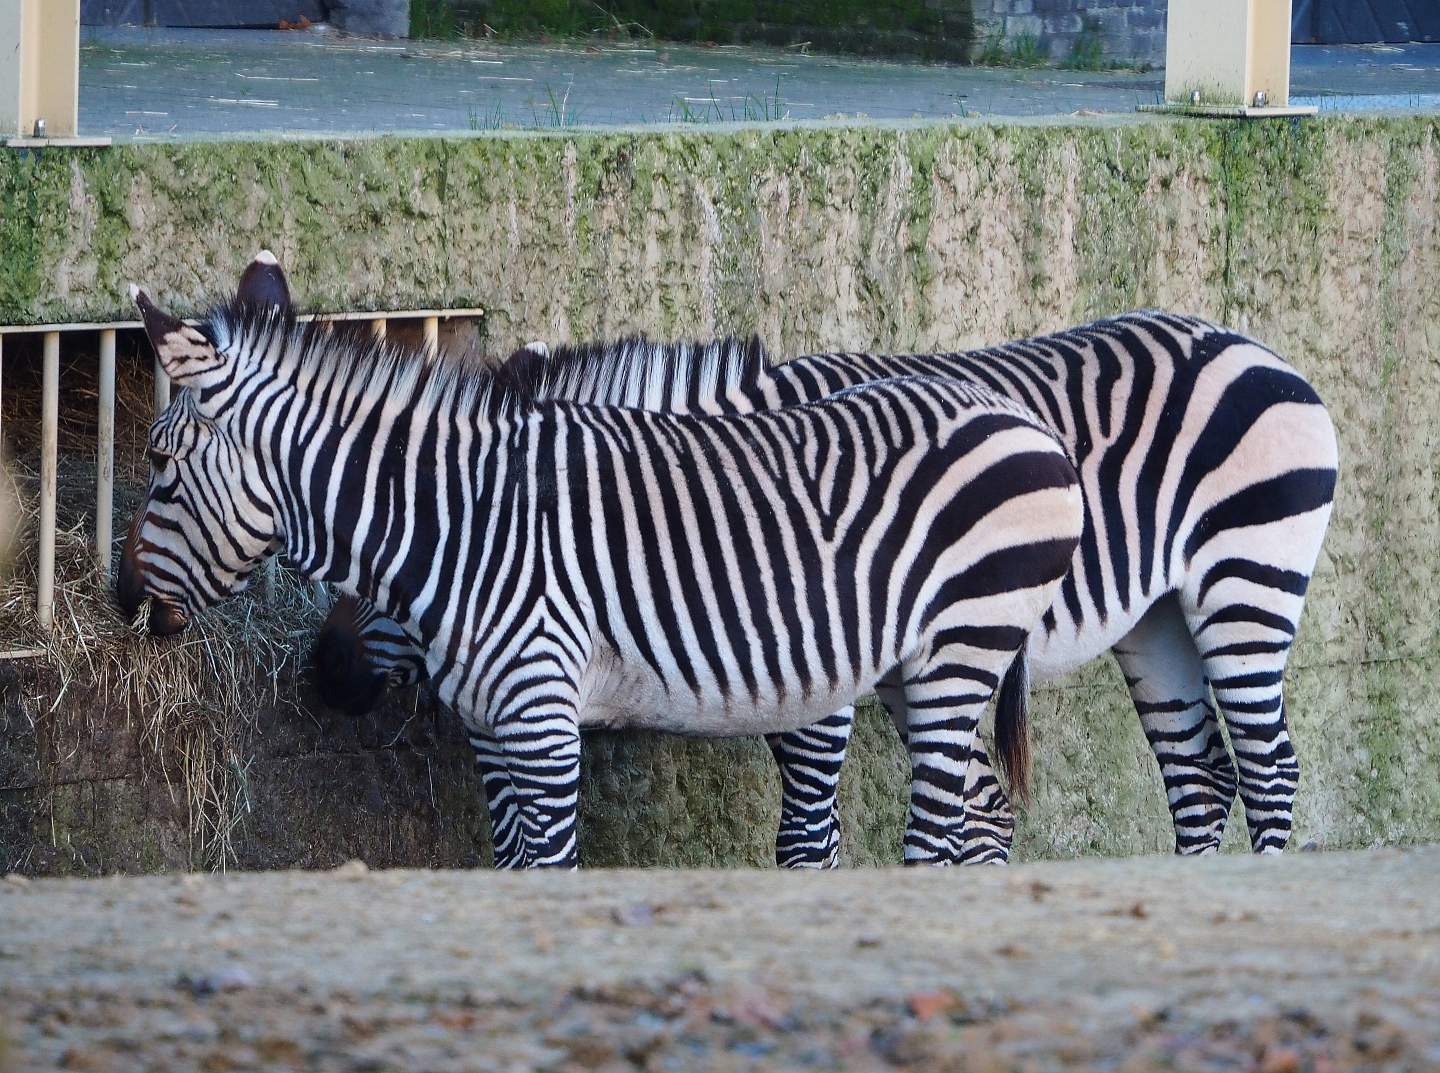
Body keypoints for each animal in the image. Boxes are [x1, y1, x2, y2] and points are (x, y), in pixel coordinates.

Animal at [116, 265, 1086, 869]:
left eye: (159, 463)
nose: (120, 595)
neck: (472, 528)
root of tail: (1014, 416)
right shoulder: (495, 726)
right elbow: (513, 869)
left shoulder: (546, 721)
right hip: (920, 666)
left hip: (961, 651)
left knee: (940, 829)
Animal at [314, 313, 1338, 859]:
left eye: (396, 547)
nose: (321, 681)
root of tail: (1249, 343)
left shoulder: (826, 676)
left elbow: (809, 835)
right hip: (1157, 620)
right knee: (1201, 775)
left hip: (1245, 584)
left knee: (1270, 765)